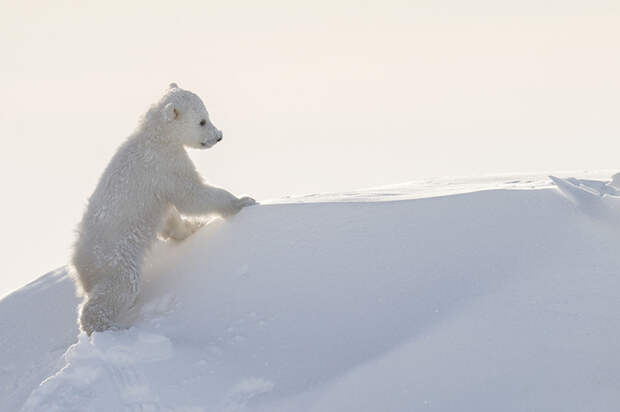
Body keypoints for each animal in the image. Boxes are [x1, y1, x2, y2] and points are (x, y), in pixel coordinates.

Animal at [72, 83, 254, 334]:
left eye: (207, 115)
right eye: (202, 121)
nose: (219, 136)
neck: (155, 137)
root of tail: (77, 263)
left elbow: (171, 215)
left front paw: (193, 227)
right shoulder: (164, 165)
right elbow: (191, 194)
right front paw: (242, 202)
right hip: (114, 258)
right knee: (120, 286)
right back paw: (107, 327)